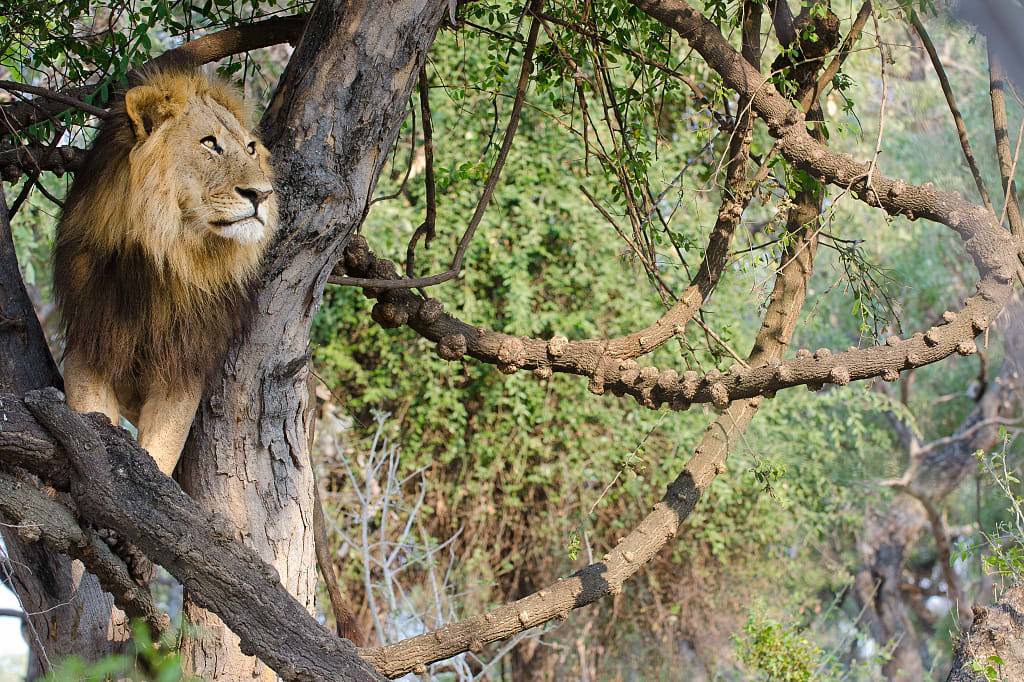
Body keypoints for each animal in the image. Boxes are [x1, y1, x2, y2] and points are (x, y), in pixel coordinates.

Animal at [54, 70, 277, 476]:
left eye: (251, 148)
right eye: (210, 144)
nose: (262, 194)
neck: (167, 259)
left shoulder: (184, 365)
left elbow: (161, 448)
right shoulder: (89, 338)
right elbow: (92, 415)